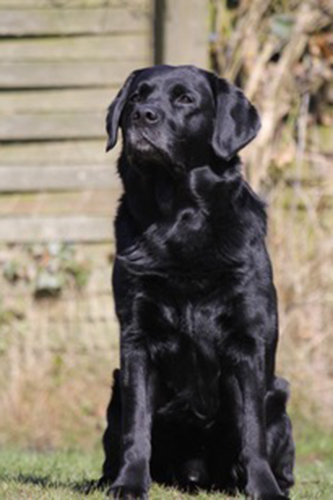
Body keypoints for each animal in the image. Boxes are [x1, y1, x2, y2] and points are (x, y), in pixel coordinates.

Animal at [98, 64, 294, 498]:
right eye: (136, 97)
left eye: (185, 99)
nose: (143, 116)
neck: (179, 218)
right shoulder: (136, 339)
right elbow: (137, 426)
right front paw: (130, 483)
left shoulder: (248, 341)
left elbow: (251, 431)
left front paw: (264, 487)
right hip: (115, 388)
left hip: (279, 393)